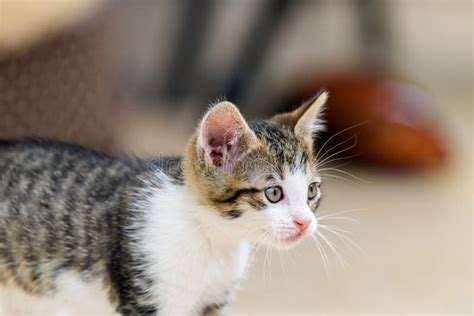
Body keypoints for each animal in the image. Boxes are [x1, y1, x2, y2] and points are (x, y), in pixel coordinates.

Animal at [0, 90, 326, 314]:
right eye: (273, 193)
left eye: (311, 191)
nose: (305, 222)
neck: (211, 239)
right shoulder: (147, 295)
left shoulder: (214, 299)